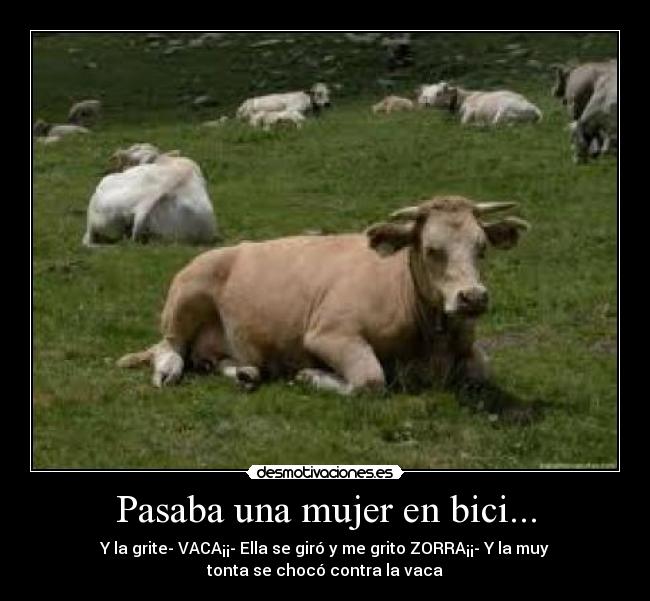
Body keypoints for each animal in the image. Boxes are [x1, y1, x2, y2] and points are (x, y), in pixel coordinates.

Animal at [117, 196, 530, 396]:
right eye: (432, 249)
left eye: (482, 247)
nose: (472, 297)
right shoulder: (329, 334)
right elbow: (370, 380)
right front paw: (312, 376)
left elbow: (481, 372)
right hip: (188, 293)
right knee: (170, 346)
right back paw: (169, 371)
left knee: (211, 358)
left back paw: (247, 373)